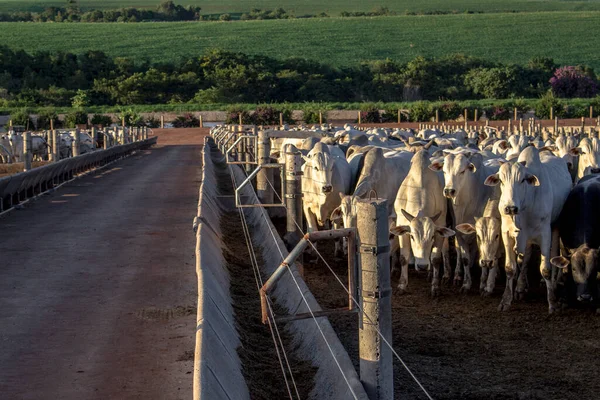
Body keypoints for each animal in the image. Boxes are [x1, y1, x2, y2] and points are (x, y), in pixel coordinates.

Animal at [392, 148, 452, 296]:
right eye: (412, 237)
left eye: (431, 237)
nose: (422, 266)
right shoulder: (402, 227)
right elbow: (404, 257)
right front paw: (402, 285)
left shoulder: (440, 227)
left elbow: (436, 259)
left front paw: (435, 287)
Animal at [482, 146, 572, 312]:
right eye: (501, 180)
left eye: (523, 180)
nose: (510, 208)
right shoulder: (507, 233)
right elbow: (510, 267)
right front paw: (506, 300)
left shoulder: (544, 233)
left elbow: (545, 268)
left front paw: (552, 303)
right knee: (526, 258)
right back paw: (520, 287)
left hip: (556, 225)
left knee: (554, 255)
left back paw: (554, 284)